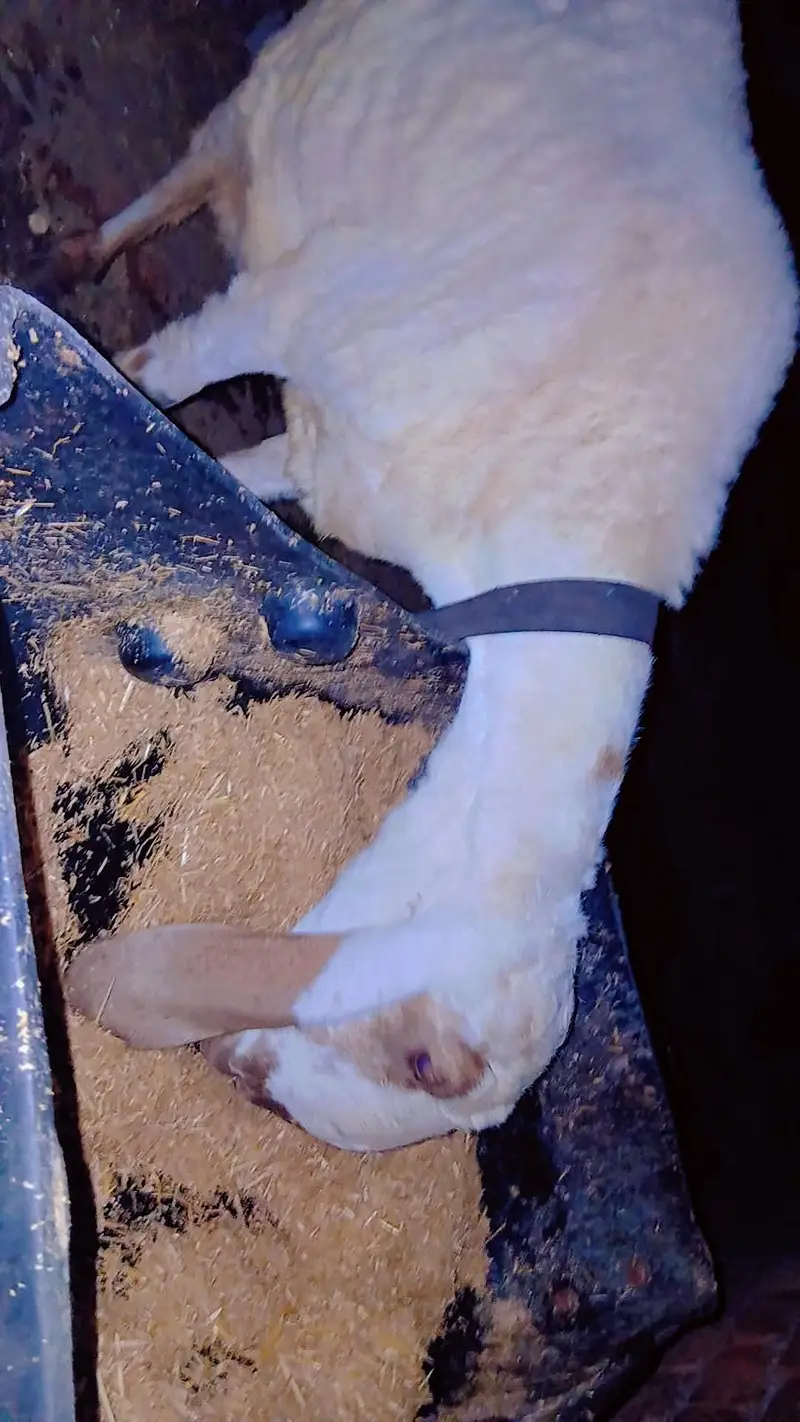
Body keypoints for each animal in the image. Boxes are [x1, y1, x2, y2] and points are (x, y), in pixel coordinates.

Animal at [64, 0, 798, 1152]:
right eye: (409, 1059)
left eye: (273, 1091)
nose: (228, 1064)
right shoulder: (302, 303)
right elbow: (154, 377)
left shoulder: (327, 458)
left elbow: (214, 480)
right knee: (199, 162)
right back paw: (93, 247)